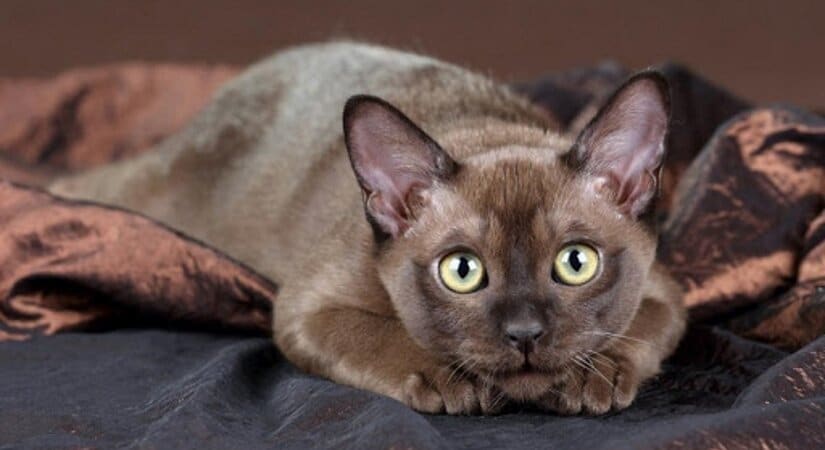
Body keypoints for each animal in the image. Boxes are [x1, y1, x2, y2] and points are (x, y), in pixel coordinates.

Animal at [48, 41, 684, 414]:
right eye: (462, 271)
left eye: (576, 263)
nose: (524, 333)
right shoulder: (304, 308)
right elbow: (377, 335)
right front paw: (451, 382)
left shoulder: (667, 295)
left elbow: (639, 331)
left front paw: (593, 376)